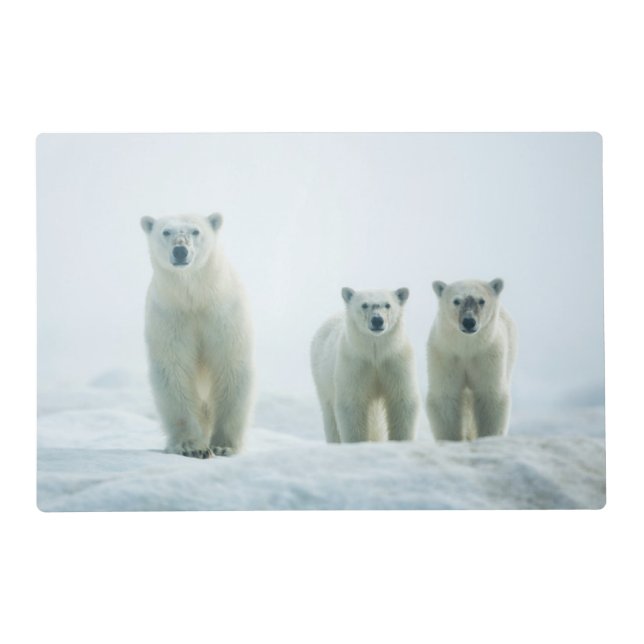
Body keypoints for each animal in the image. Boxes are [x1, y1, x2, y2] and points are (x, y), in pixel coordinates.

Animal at [140, 212, 254, 458]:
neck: (195, 298)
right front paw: (191, 446)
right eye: (166, 231)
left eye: (195, 231)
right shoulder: (170, 317)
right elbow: (174, 370)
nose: (180, 251)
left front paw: (223, 445)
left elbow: (230, 366)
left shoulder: (223, 315)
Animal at [311, 287, 420, 443]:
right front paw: (357, 442)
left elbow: (402, 400)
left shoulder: (395, 361)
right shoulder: (355, 363)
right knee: (329, 413)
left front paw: (401, 440)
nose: (377, 320)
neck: (374, 352)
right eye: (364, 305)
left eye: (387, 305)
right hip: (322, 377)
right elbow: (352, 404)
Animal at [426, 278, 517, 441]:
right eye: (456, 301)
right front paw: (452, 439)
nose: (469, 322)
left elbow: (490, 396)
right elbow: (446, 396)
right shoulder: (445, 354)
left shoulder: (487, 355)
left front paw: (488, 437)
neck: (466, 348)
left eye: (481, 301)